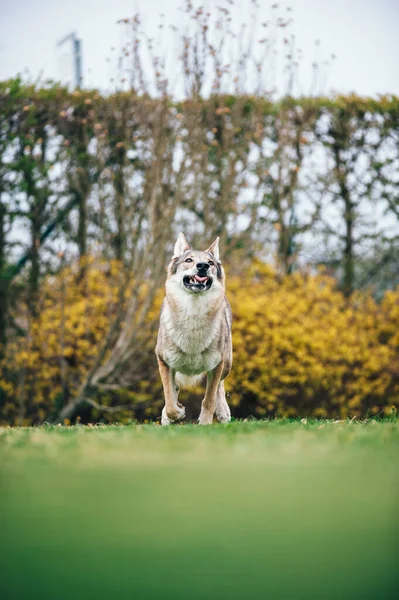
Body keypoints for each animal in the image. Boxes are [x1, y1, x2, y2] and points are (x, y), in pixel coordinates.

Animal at [155, 232, 233, 424]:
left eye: (210, 263)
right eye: (189, 260)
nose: (203, 266)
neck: (193, 314)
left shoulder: (217, 365)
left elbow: (209, 400)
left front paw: (204, 423)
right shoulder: (163, 361)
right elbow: (169, 399)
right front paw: (177, 413)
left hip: (227, 363)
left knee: (220, 386)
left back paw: (223, 412)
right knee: (173, 389)